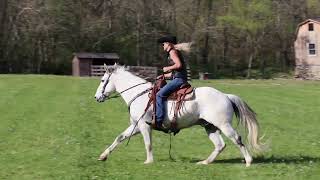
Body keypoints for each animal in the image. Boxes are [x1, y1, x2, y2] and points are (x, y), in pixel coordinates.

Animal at [94, 64, 264, 167]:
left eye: (102, 80)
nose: (96, 97)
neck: (138, 94)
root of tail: (226, 96)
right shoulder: (136, 126)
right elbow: (120, 137)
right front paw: (103, 156)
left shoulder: (143, 126)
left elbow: (148, 144)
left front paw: (149, 161)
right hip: (210, 127)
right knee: (220, 145)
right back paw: (205, 162)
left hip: (224, 125)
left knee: (237, 139)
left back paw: (248, 161)